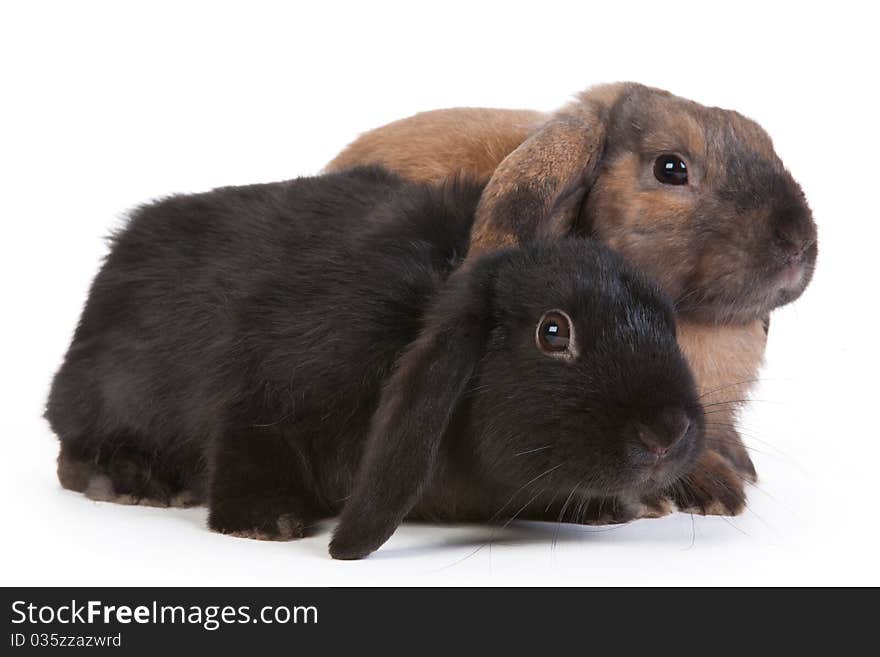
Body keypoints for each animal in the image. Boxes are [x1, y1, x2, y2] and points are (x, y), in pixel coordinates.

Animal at [44, 165, 712, 560]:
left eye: (667, 320)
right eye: (553, 332)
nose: (667, 432)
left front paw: (616, 509)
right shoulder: (263, 390)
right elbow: (247, 444)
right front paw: (266, 523)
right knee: (73, 454)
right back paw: (134, 482)